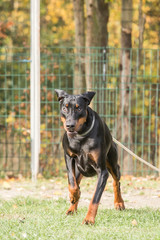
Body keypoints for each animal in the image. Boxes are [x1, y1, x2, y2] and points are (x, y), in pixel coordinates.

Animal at [55, 89, 125, 224]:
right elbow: (72, 182)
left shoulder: (102, 172)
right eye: (65, 108)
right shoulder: (68, 157)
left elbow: (95, 198)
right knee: (76, 181)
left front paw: (89, 219)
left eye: (79, 108)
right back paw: (72, 208)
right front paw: (74, 196)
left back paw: (119, 203)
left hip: (112, 163)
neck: (80, 136)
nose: (70, 125)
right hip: (78, 170)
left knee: (116, 181)